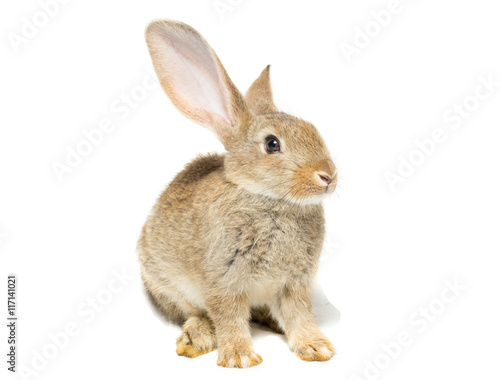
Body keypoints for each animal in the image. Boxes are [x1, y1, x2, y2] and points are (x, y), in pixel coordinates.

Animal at [139, 18, 338, 368]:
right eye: (272, 144)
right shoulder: (224, 281)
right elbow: (229, 317)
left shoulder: (294, 283)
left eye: (313, 129)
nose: (328, 176)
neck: (270, 201)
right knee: (191, 313)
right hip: (164, 283)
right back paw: (197, 338)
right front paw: (240, 358)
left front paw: (316, 349)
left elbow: (299, 315)